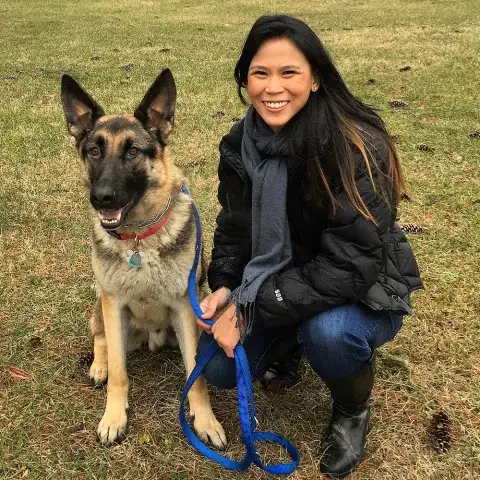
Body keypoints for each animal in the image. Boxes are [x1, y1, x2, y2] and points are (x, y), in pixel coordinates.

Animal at [60, 69, 226, 448]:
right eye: (94, 151)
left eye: (133, 151)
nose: (101, 198)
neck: (139, 239)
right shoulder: (114, 303)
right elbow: (120, 372)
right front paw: (114, 417)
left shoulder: (185, 308)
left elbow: (196, 375)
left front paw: (205, 420)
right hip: (104, 306)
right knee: (101, 339)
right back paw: (99, 366)